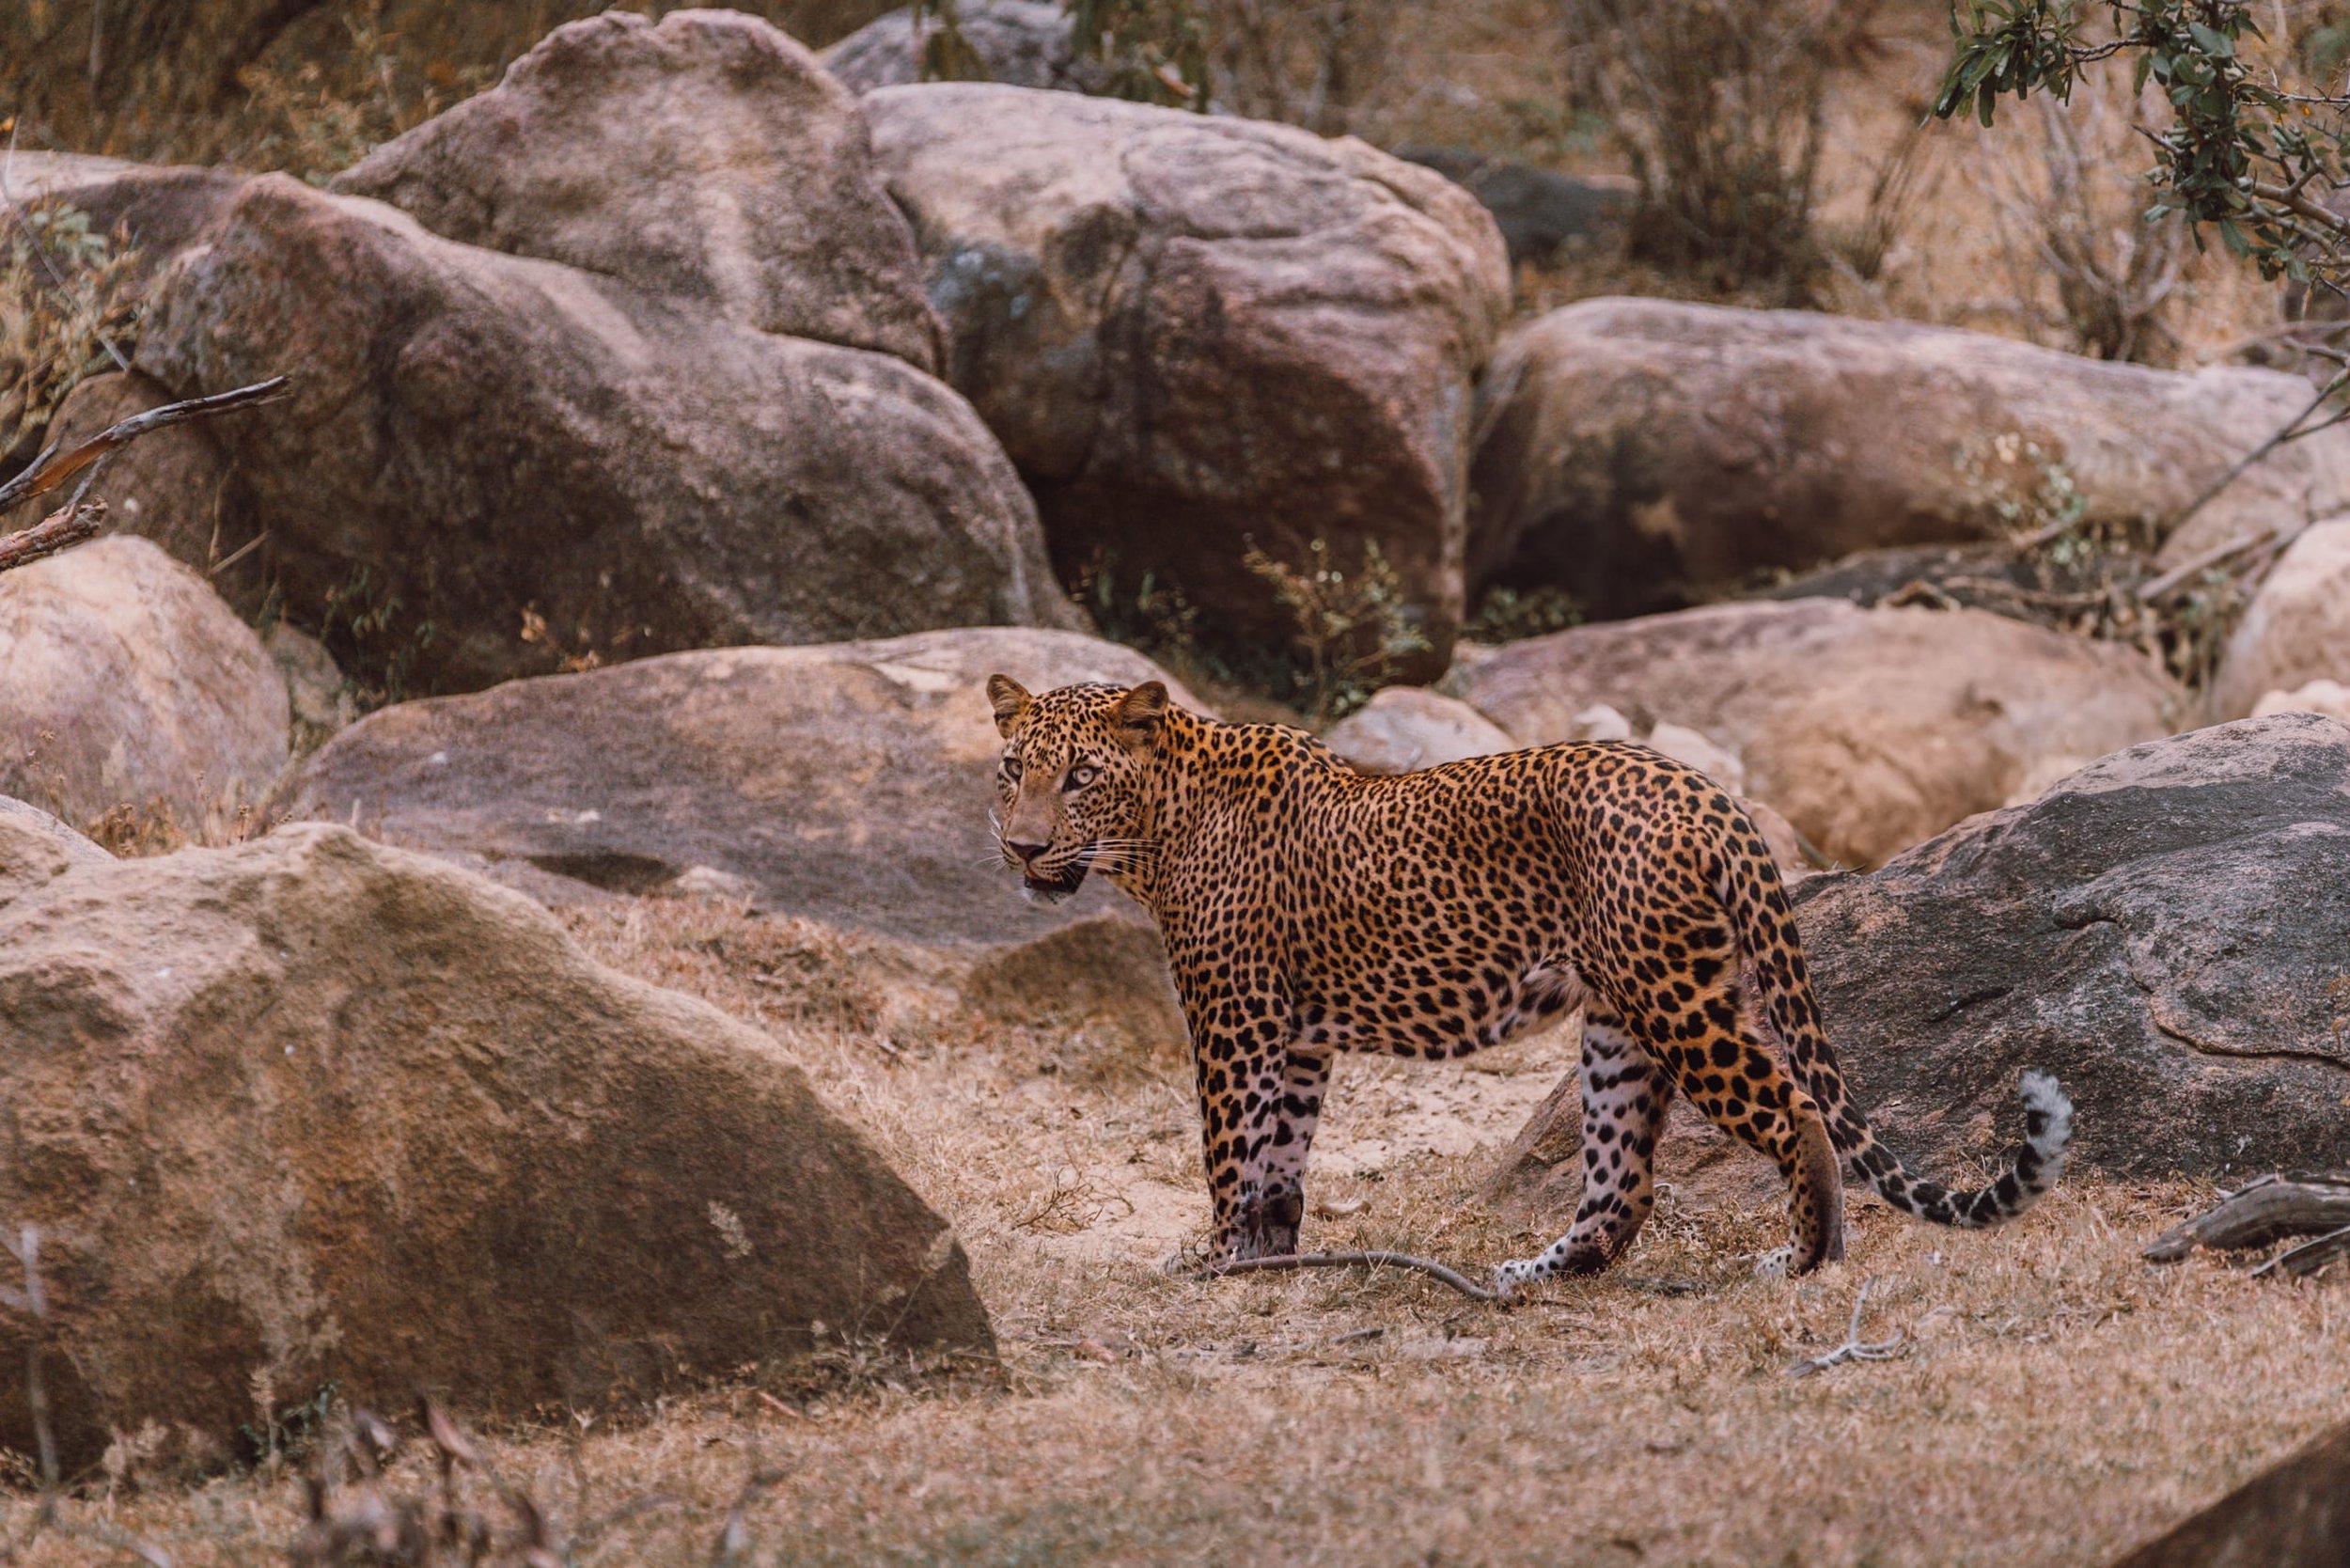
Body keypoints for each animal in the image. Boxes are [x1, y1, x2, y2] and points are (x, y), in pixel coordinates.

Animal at [985, 674, 2074, 1289]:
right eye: (1009, 770)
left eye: (1080, 775)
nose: (1021, 847)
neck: (1156, 829)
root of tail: (1708, 793)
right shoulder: (1296, 1039)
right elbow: (1278, 1163)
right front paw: (1268, 1262)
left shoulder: (1234, 1020)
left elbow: (1225, 1154)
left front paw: (1210, 1265)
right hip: (1619, 1024)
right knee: (1622, 1181)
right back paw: (1538, 1273)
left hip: (1672, 1001)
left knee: (1793, 1108)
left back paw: (1804, 1260)